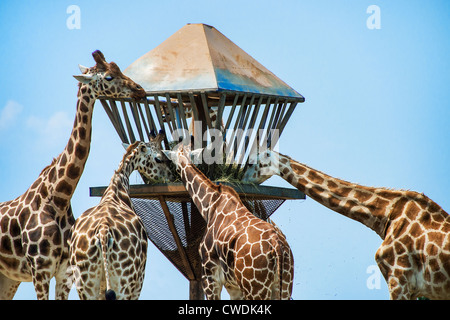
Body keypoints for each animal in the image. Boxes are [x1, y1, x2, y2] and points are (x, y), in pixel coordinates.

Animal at [0, 50, 146, 300]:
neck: (59, 197)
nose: (139, 90)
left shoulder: (64, 273)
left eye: (118, 68)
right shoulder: (40, 270)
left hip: (9, 277)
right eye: (108, 77)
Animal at [69, 133, 173, 300]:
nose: (171, 175)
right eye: (158, 158)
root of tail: (103, 231)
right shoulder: (139, 282)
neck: (116, 190)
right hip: (125, 281)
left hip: (85, 283)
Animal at [163, 145, 294, 300]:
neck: (210, 205)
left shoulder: (209, 277)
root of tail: (277, 246)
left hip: (255, 288)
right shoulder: (233, 287)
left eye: (175, 166)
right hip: (284, 285)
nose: (174, 175)